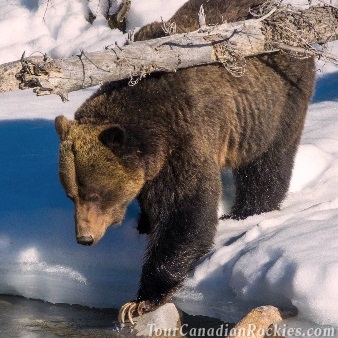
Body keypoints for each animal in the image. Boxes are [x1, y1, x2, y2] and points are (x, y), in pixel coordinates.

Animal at [54, 0, 316, 322]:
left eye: (95, 194)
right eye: (71, 195)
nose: (84, 238)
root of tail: (288, 14)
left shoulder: (185, 138)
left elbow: (187, 212)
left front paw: (141, 300)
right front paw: (144, 223)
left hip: (274, 102)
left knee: (268, 162)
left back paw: (246, 212)